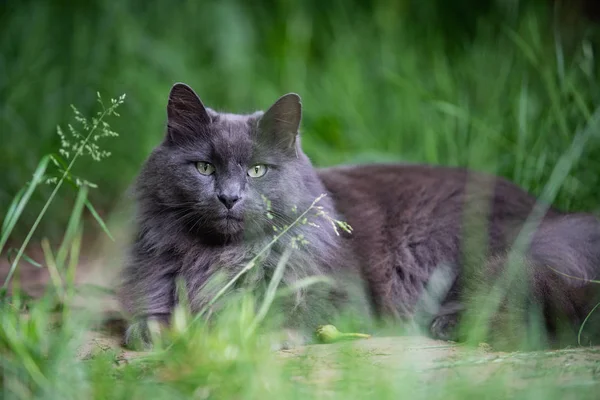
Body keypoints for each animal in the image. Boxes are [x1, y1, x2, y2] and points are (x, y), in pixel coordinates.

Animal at [119, 82, 600, 350]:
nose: (228, 198)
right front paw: (154, 331)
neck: (223, 257)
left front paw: (265, 334)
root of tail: (554, 212)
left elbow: (290, 314)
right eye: (204, 168)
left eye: (257, 170)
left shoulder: (341, 297)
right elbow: (150, 316)